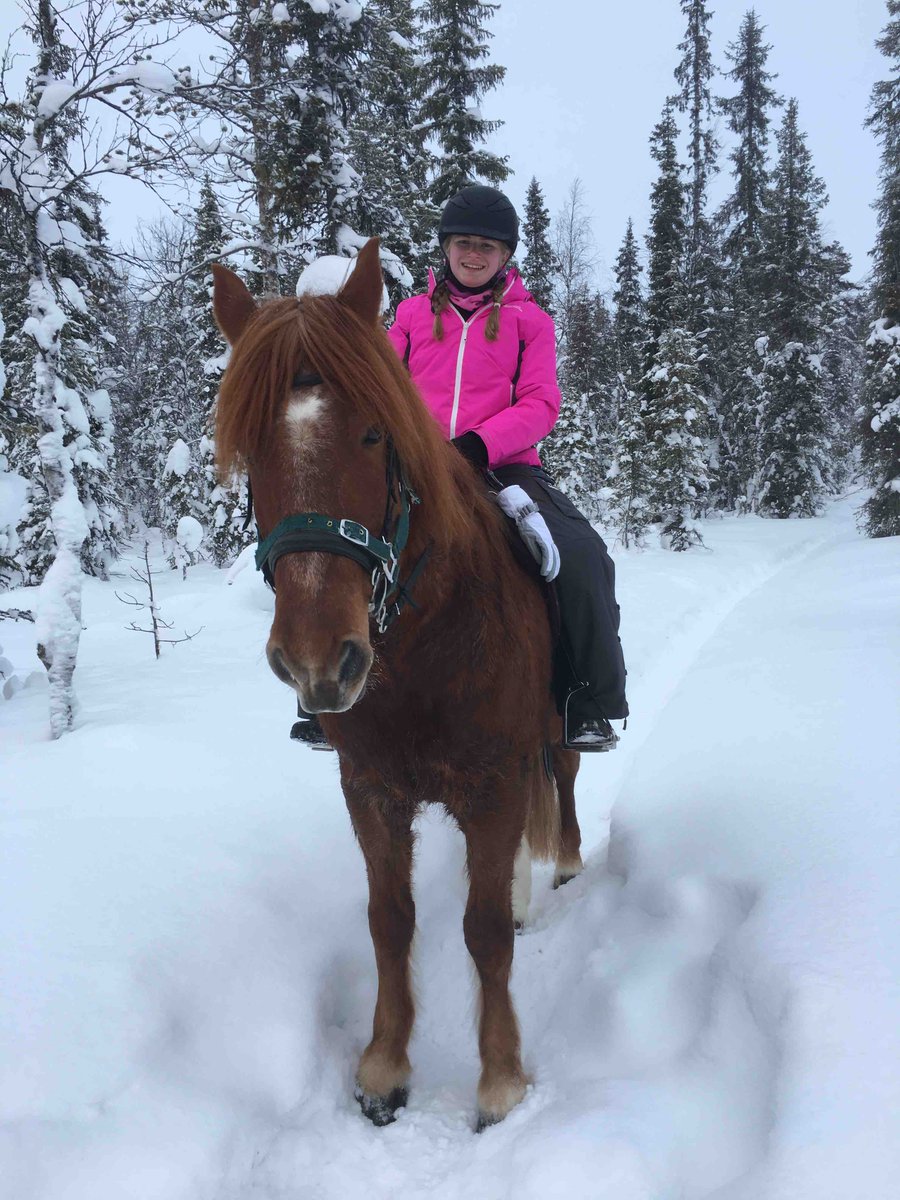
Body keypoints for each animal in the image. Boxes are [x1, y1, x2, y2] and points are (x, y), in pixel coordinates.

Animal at [211, 238, 584, 1130]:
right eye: (252, 449)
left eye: (375, 435)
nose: (318, 659)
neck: (421, 650)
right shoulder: (371, 786)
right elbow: (390, 919)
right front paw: (383, 1067)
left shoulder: (491, 782)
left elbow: (484, 932)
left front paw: (500, 1079)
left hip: (559, 732)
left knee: (564, 782)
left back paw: (565, 865)